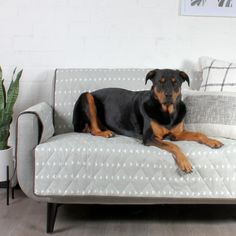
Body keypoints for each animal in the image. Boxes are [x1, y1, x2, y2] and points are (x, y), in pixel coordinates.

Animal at [73, 69, 224, 172]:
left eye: (175, 83)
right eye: (160, 82)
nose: (168, 95)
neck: (167, 112)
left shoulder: (177, 134)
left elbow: (198, 134)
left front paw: (213, 141)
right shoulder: (150, 137)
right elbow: (173, 146)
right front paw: (184, 162)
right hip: (87, 96)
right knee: (93, 130)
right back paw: (105, 133)